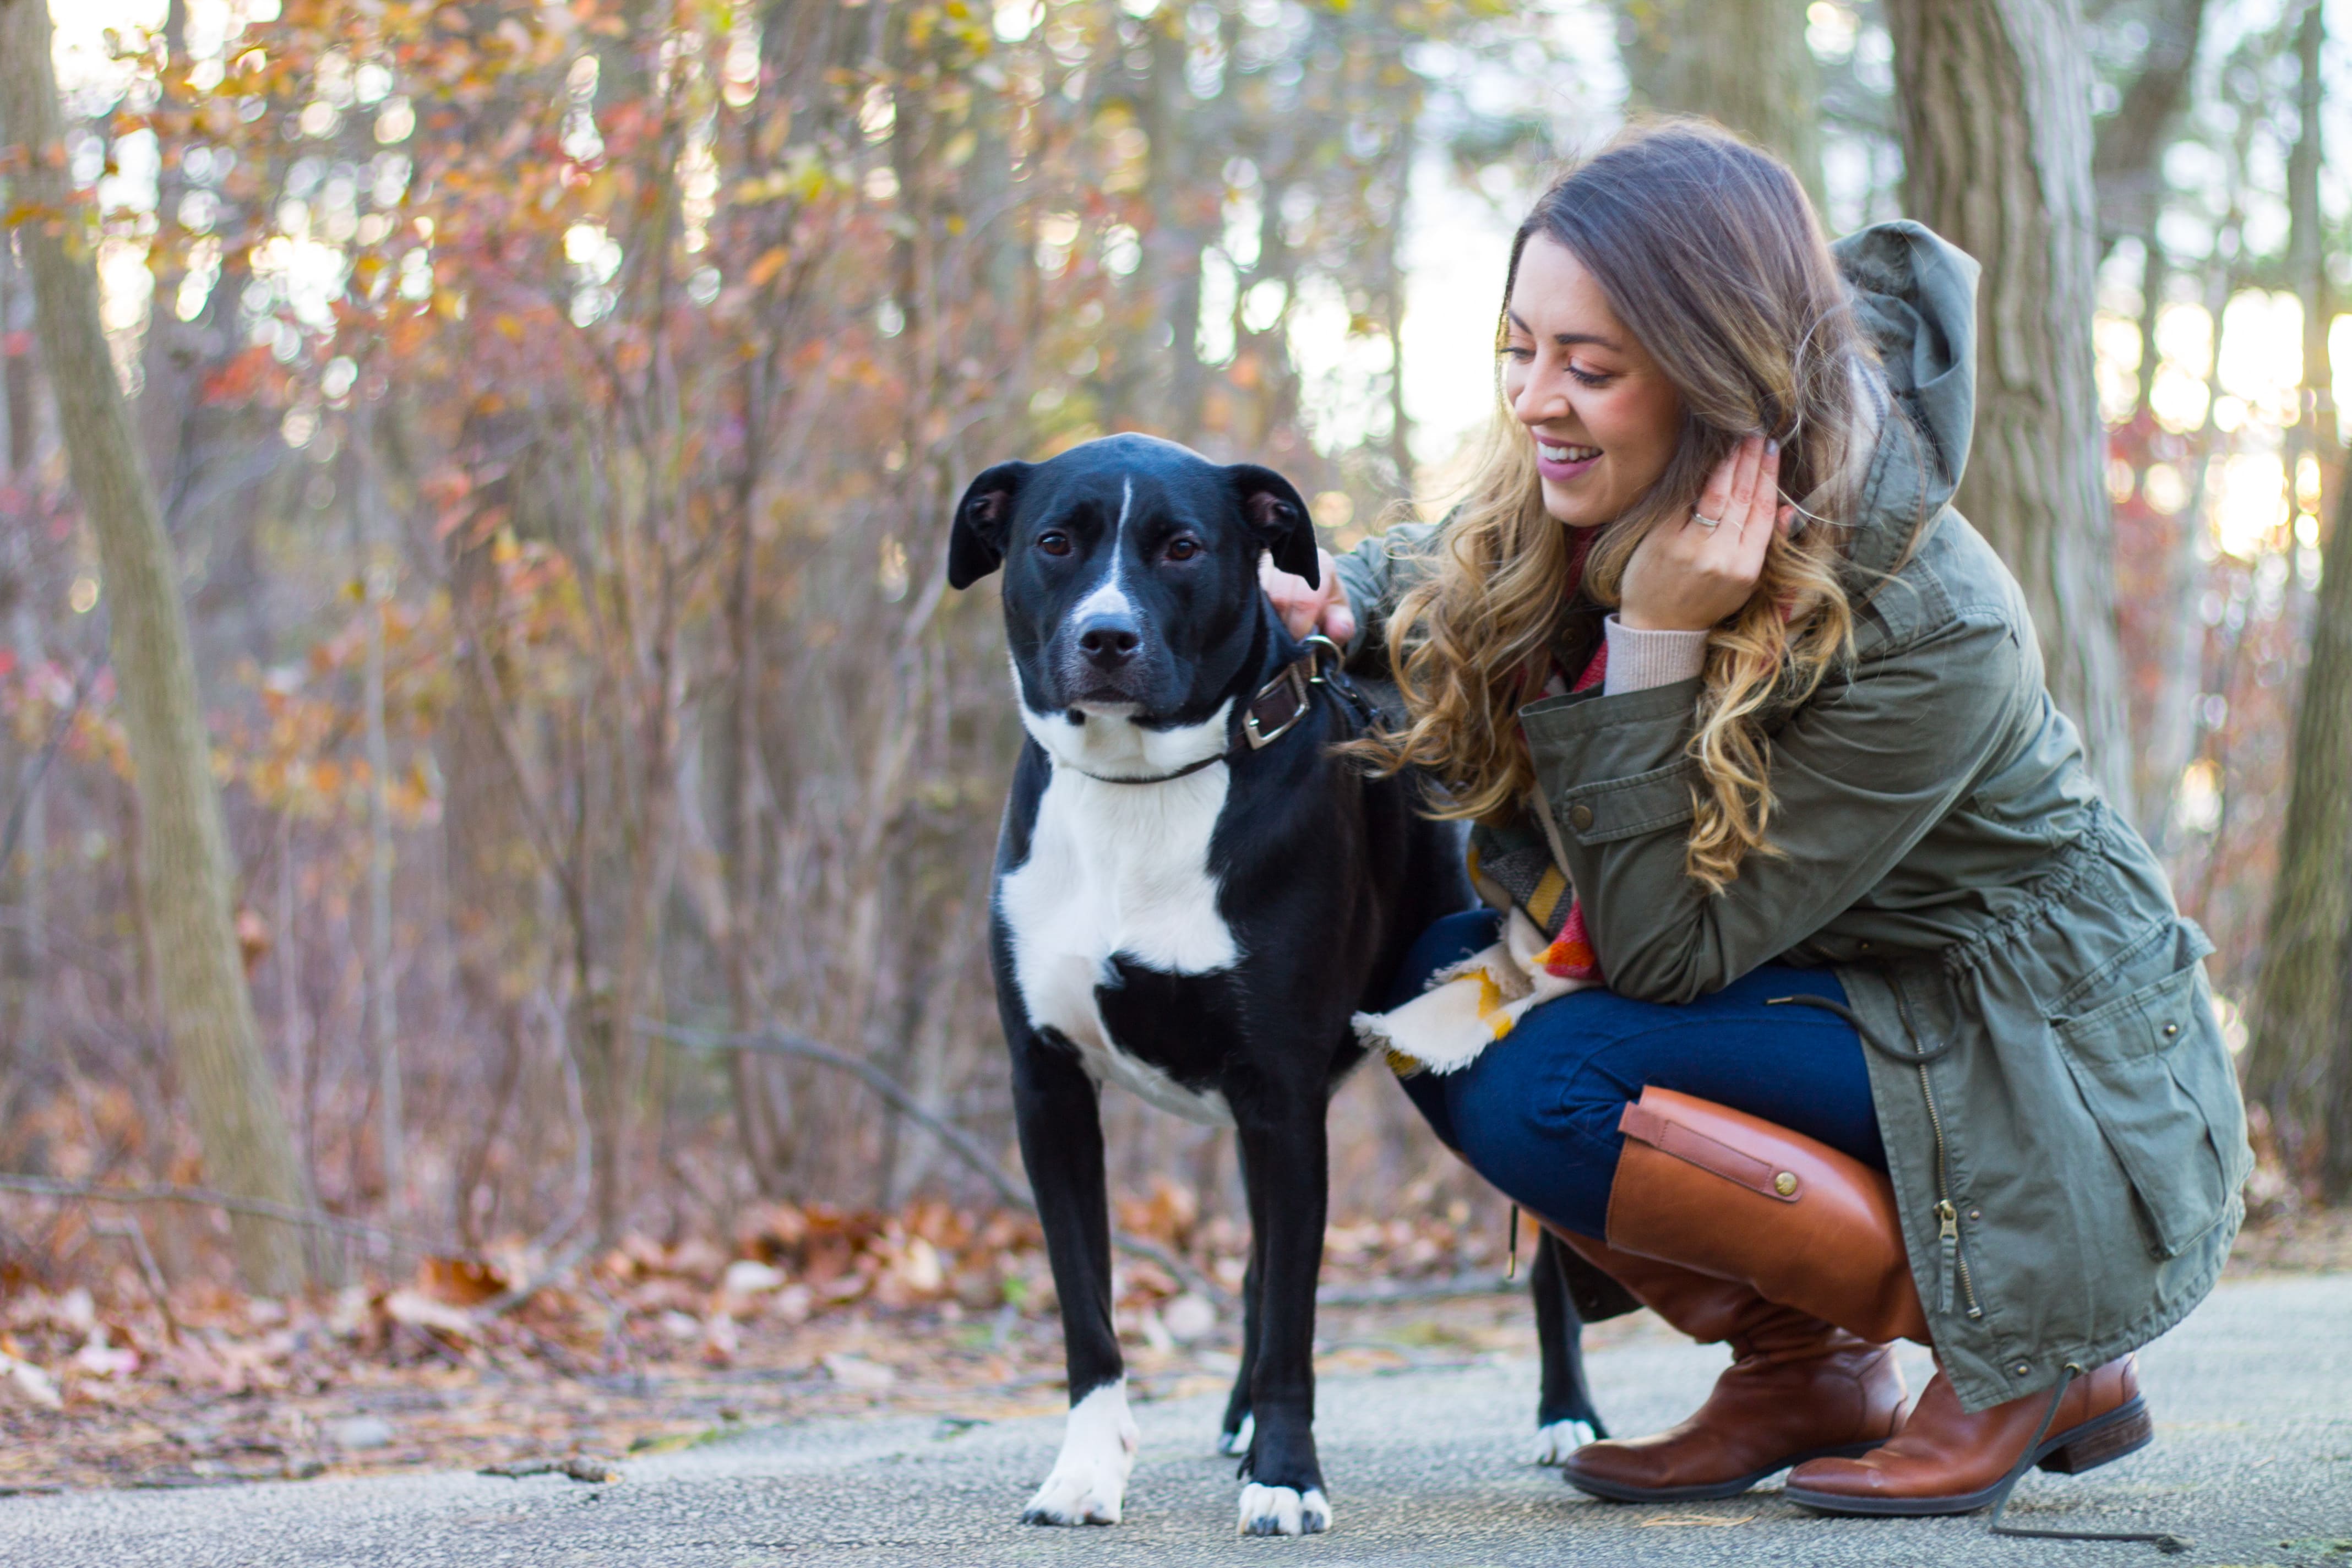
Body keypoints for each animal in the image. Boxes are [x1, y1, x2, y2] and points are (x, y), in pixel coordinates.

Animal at [945, 434, 1627, 1542]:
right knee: (1261, 1266)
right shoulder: (1049, 1089)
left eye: (1181, 546)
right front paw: (1086, 1473)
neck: (1143, 790)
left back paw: (1568, 1417)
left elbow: (1296, 1326)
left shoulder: (1282, 1096)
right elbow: (1091, 1313)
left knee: (1537, 1264)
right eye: (1053, 542)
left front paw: (1286, 1476)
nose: (1106, 636)